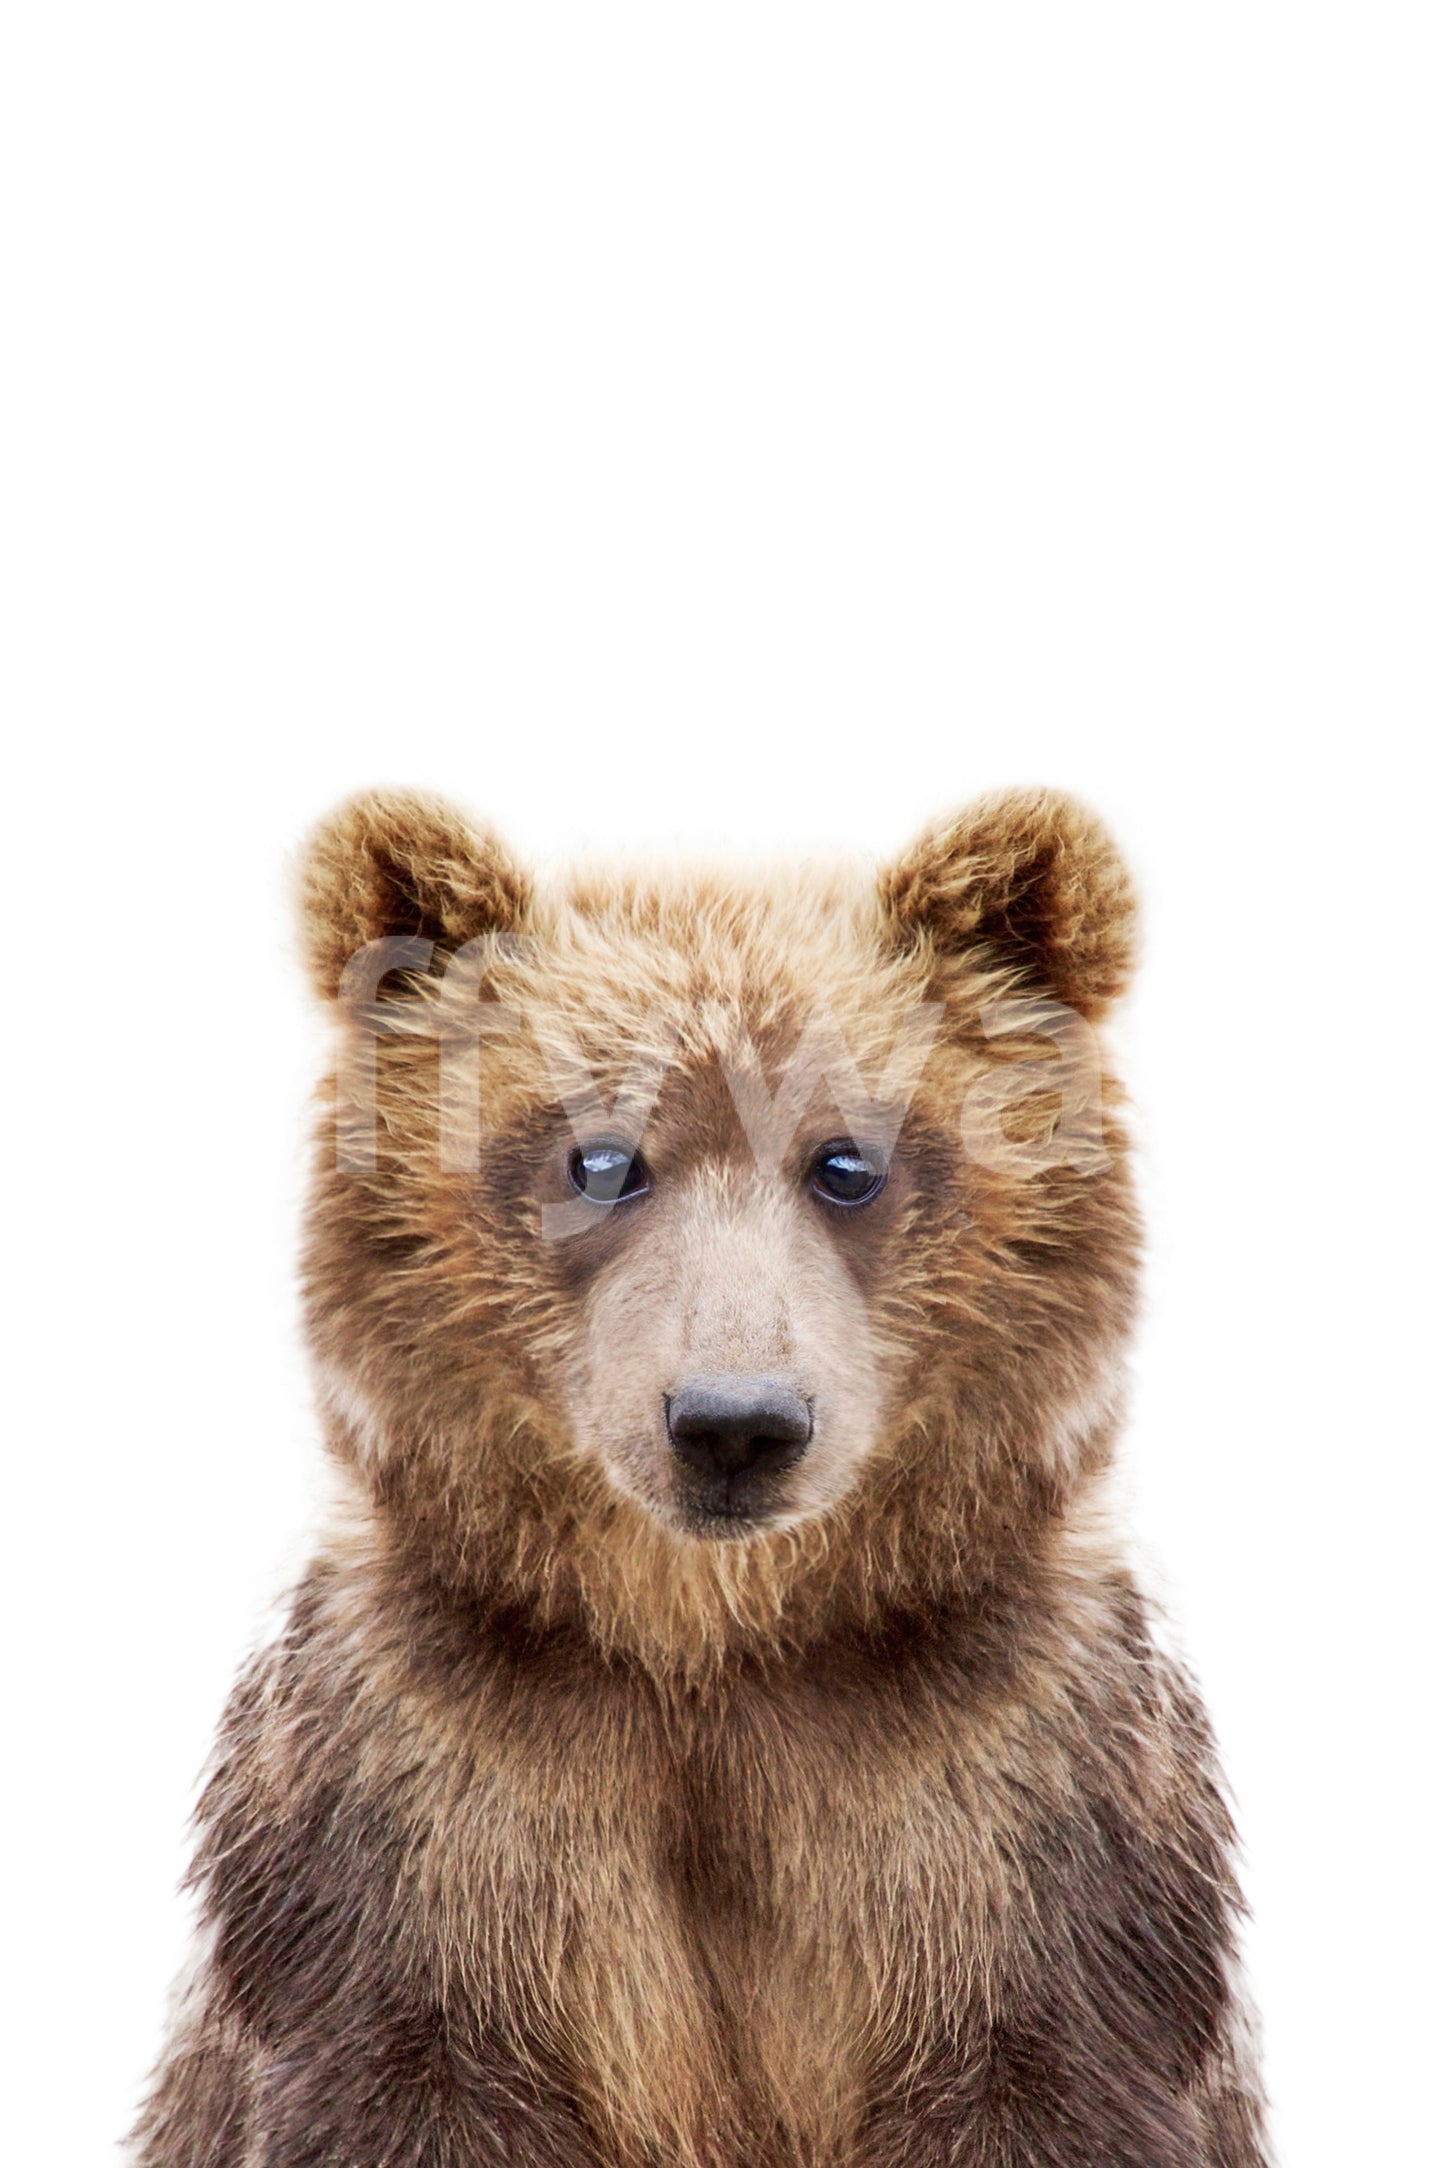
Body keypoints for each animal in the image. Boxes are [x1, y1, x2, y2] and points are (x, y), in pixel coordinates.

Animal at [130, 786, 1270, 2167]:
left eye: (847, 1160)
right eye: (600, 1157)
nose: (734, 1421)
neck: (711, 1644)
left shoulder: (1018, 1813)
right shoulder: (420, 1812)